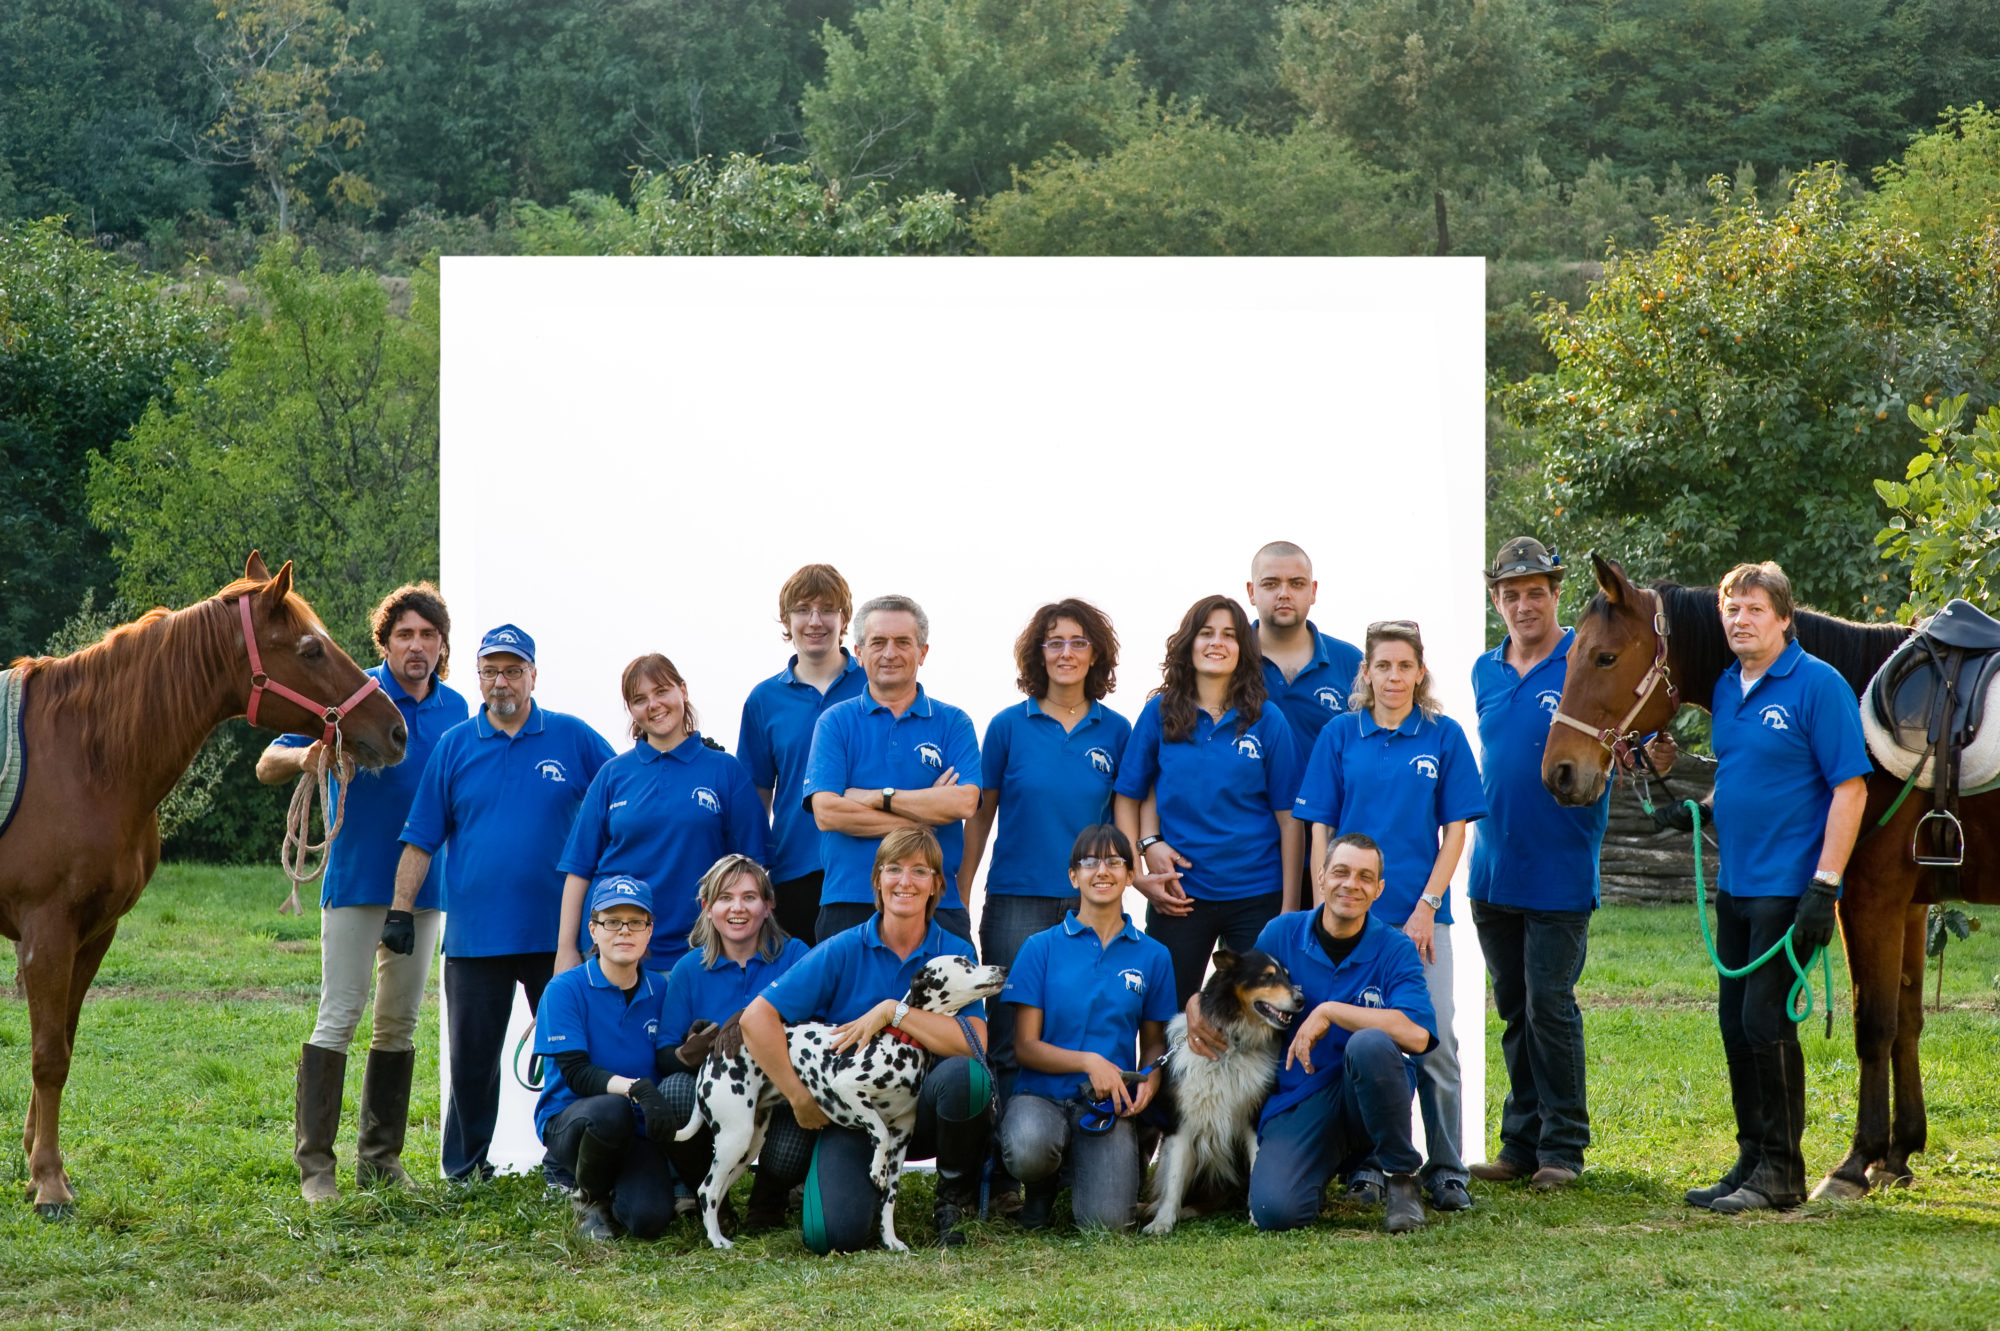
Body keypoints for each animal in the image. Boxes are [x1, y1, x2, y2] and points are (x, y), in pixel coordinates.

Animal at [0, 547, 406, 1215]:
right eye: (311, 650)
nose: (397, 731)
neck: (85, 757)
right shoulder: (47, 932)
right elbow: (48, 1054)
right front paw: (51, 1184)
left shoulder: (93, 933)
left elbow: (62, 1039)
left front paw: (38, 1168)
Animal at [680, 955, 1008, 1247]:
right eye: (964, 963)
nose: (1003, 968)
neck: (902, 1041)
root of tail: (713, 1053)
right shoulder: (848, 1087)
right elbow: (879, 1132)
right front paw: (875, 1168)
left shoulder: (902, 1141)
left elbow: (889, 1200)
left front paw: (890, 1240)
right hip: (735, 1138)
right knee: (707, 1190)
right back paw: (717, 1241)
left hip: (746, 1147)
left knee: (715, 1191)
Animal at [1152, 947, 1304, 1231]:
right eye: (1267, 977)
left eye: (1287, 976)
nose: (1301, 999)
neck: (1231, 1047)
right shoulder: (1182, 1121)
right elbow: (1174, 1178)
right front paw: (1162, 1221)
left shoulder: (1254, 1116)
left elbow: (1256, 1166)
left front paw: (1256, 1215)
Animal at [1536, 555, 1992, 1199]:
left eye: (1603, 657)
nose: (1559, 773)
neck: (1857, 694)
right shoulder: (1909, 903)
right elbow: (1907, 1020)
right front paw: (1899, 1154)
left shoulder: (1870, 896)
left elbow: (1872, 1024)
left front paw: (1855, 1163)